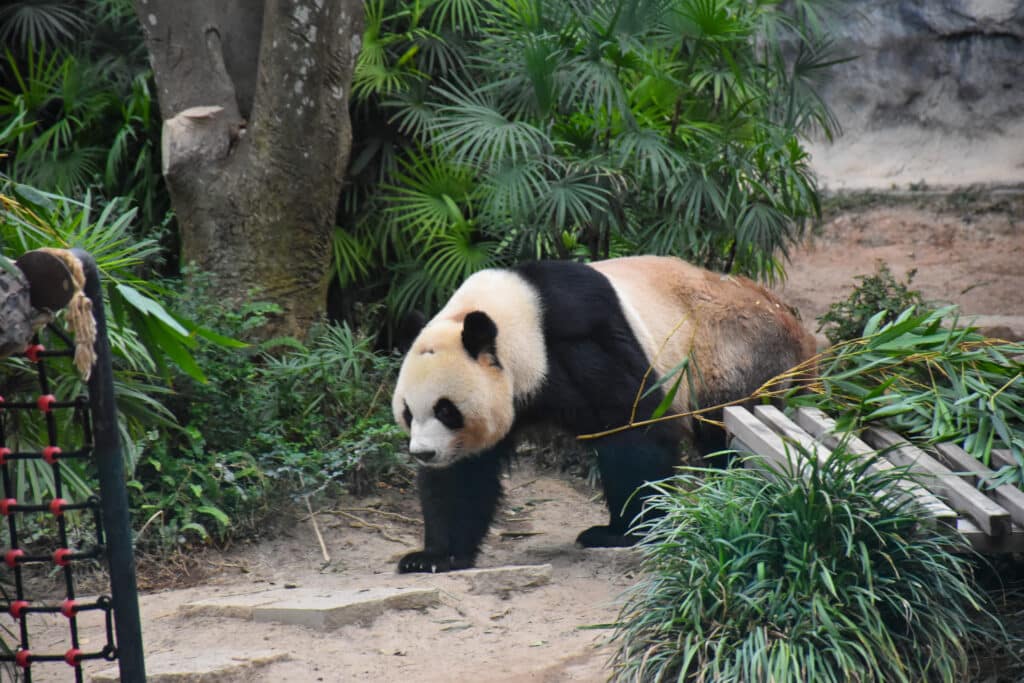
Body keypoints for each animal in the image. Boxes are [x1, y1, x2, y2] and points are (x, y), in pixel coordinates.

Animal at [392, 255, 816, 573]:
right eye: (409, 413)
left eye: (446, 410)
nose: (424, 454)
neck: (518, 319)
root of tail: (798, 330)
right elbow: (462, 475)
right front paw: (432, 558)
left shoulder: (580, 338)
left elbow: (632, 428)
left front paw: (621, 533)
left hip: (733, 357)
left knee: (726, 437)